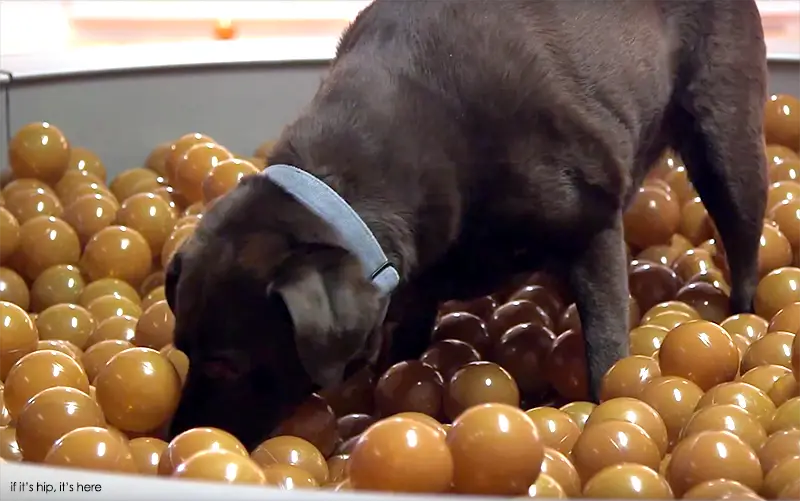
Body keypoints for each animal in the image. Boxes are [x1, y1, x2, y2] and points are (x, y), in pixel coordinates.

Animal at [167, 0, 768, 448]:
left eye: (225, 366)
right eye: (182, 349)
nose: (175, 436)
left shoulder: (593, 230)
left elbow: (606, 348)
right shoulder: (410, 282)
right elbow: (404, 347)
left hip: (726, 142)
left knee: (742, 246)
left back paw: (742, 316)